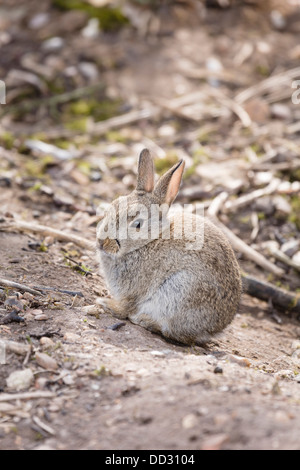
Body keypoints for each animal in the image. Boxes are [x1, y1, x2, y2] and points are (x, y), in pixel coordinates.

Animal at [97, 149, 243, 344]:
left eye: (137, 224)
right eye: (112, 206)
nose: (102, 242)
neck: (149, 241)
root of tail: (215, 330)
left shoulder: (134, 291)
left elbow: (125, 306)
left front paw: (106, 304)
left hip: (179, 292)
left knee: (175, 333)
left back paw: (144, 320)